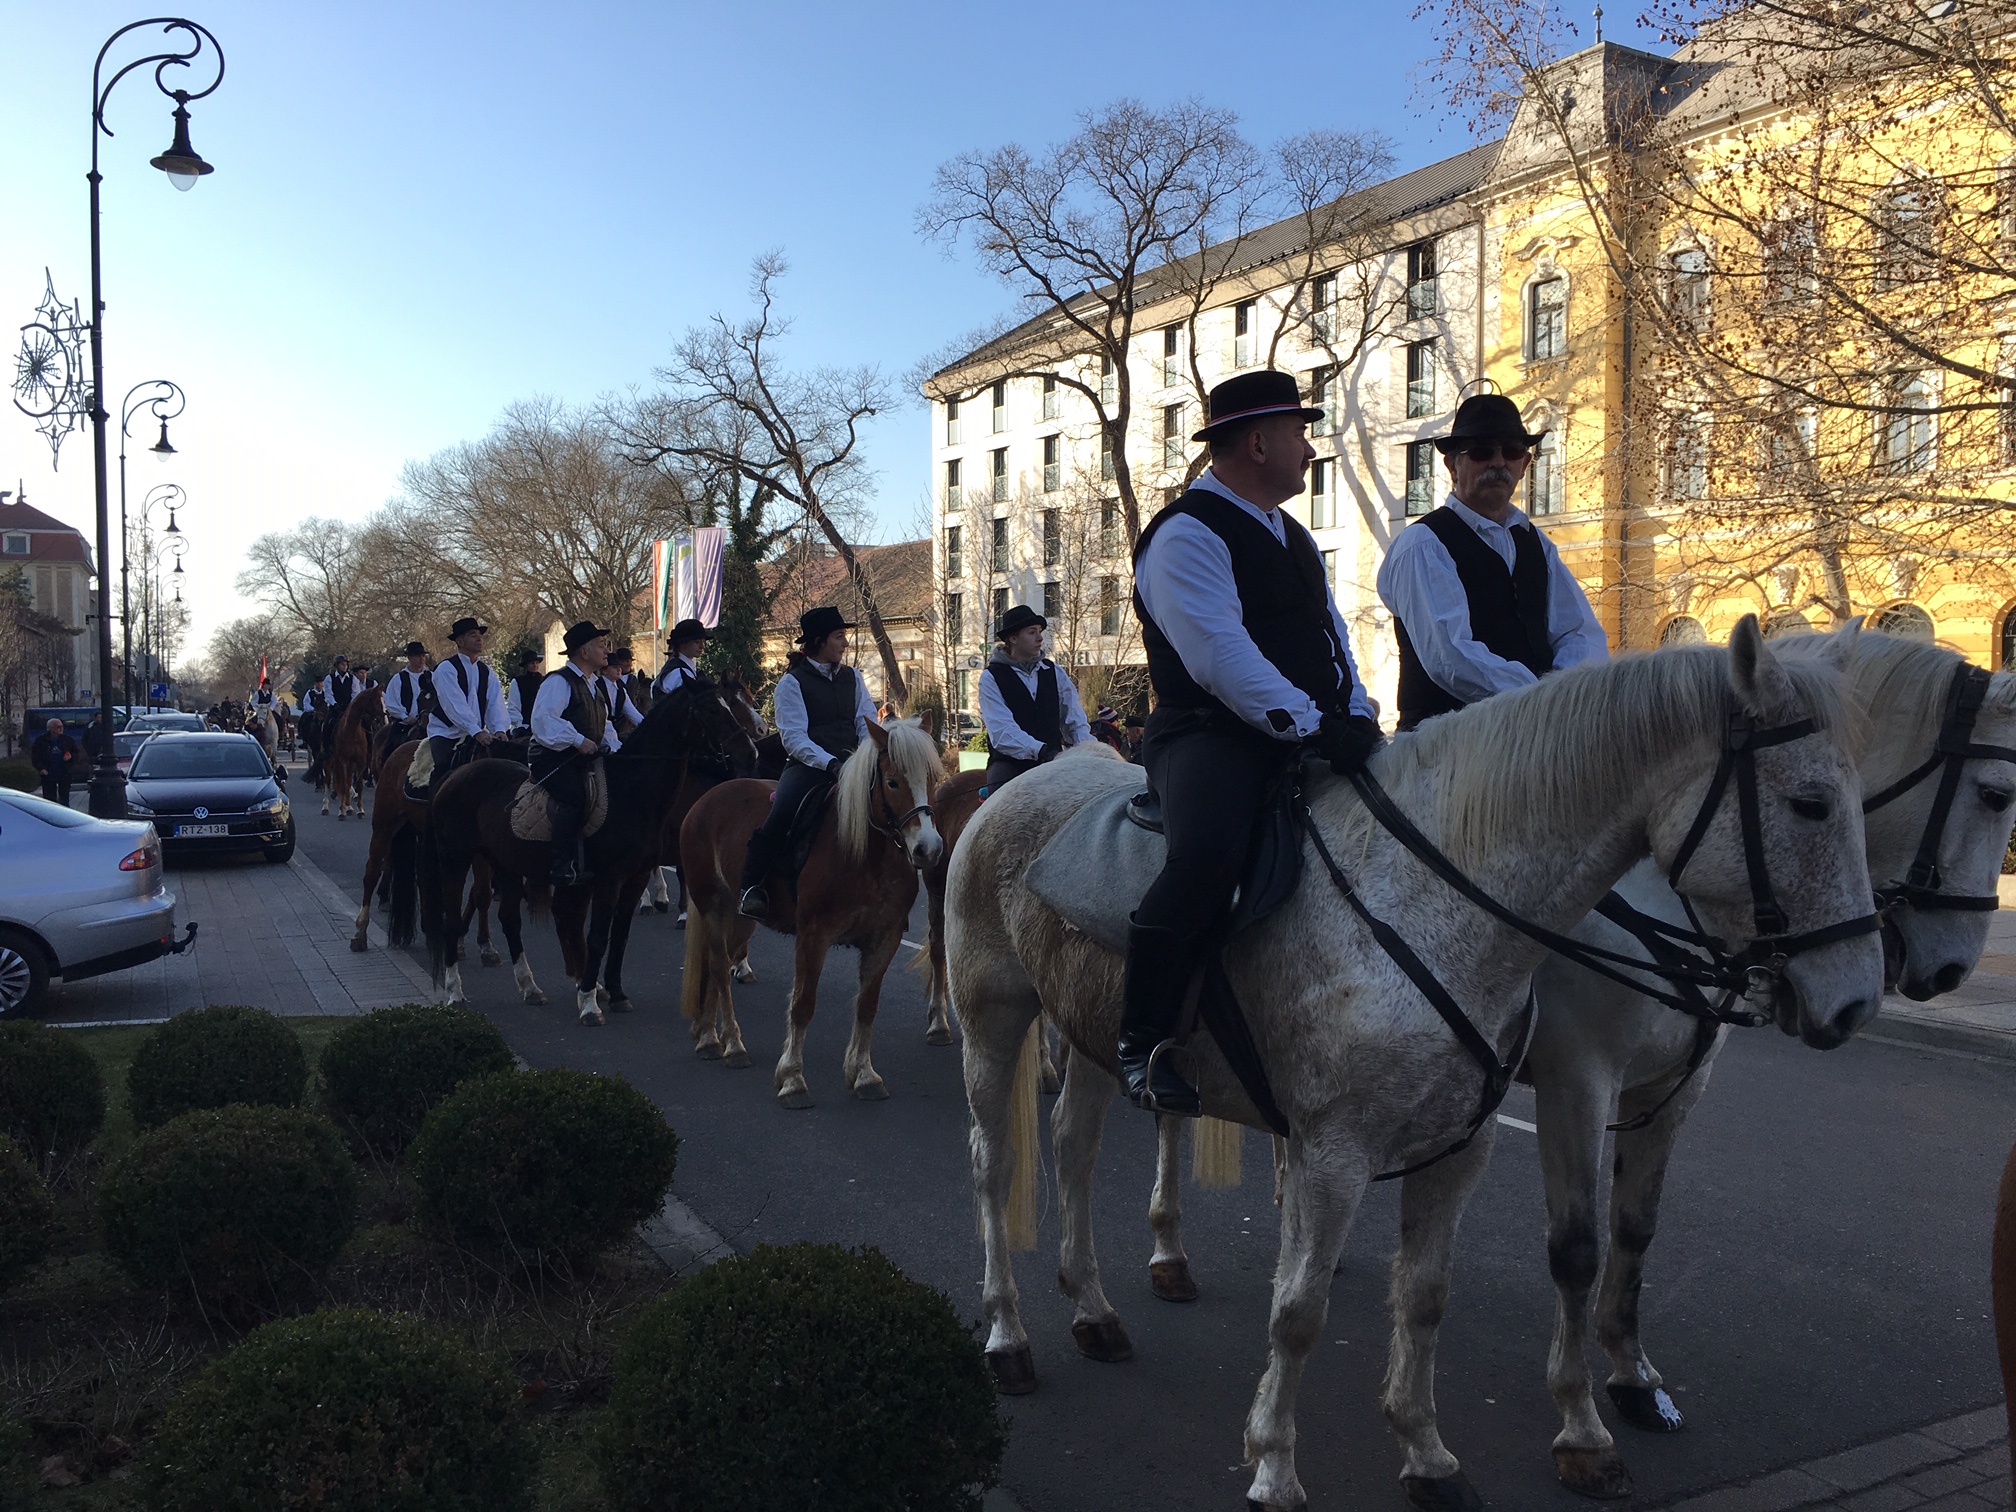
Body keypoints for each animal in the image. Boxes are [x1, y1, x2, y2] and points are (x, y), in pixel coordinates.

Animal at [320, 693, 383, 822]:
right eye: (375, 700)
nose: (381, 719)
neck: (351, 730)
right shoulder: (342, 761)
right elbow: (344, 785)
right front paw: (341, 812)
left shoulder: (360, 762)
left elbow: (357, 784)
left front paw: (360, 810)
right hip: (328, 762)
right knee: (328, 781)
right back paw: (326, 807)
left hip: (350, 765)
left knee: (348, 781)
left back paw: (349, 807)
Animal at [421, 685, 758, 1032]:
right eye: (713, 710)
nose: (750, 753)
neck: (631, 789)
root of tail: (453, 776)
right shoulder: (609, 880)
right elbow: (597, 937)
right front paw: (589, 1003)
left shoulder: (634, 878)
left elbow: (619, 936)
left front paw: (616, 992)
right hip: (456, 859)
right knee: (452, 919)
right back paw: (455, 990)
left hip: (505, 864)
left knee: (510, 920)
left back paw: (530, 986)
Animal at [669, 717, 935, 1104]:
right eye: (893, 782)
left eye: (931, 777)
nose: (929, 849)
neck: (865, 855)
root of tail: (707, 799)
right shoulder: (813, 936)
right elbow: (803, 1004)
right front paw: (793, 1078)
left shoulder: (882, 940)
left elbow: (867, 1005)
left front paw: (864, 1075)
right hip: (711, 906)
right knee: (718, 967)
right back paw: (732, 1045)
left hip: (740, 918)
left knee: (718, 964)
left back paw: (706, 1035)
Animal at [947, 620, 1886, 1507]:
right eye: (1810, 805)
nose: (1856, 1002)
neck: (1428, 896)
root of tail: (1023, 786)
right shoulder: (1353, 1147)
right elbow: (1302, 1311)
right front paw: (1276, 1470)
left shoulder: (1466, 1143)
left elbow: (1429, 1295)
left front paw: (1428, 1454)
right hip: (994, 1023)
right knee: (994, 1168)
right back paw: (1009, 1335)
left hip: (1095, 1038)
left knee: (1072, 1149)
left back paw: (1092, 1309)